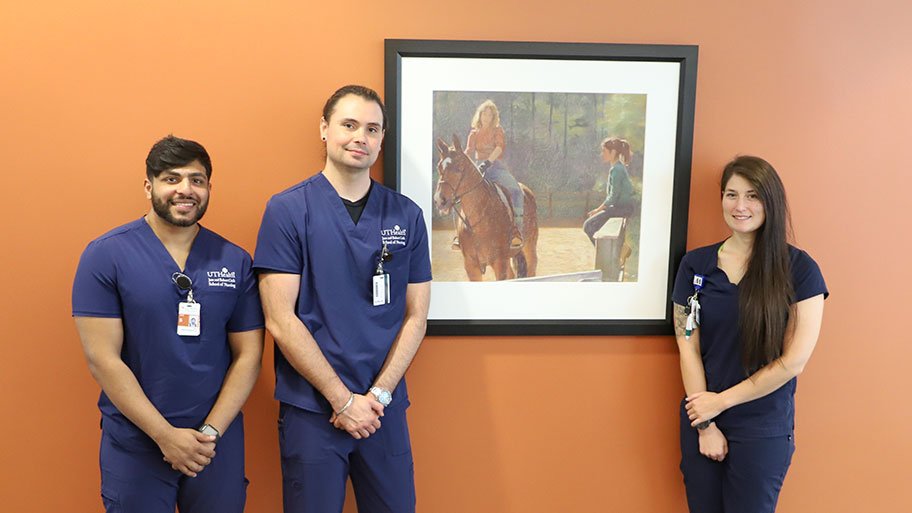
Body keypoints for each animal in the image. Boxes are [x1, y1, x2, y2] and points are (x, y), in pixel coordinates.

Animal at [432, 134, 536, 280]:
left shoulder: (499, 262)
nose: (439, 200)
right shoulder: (471, 265)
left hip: (529, 247)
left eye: (458, 167)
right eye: (439, 167)